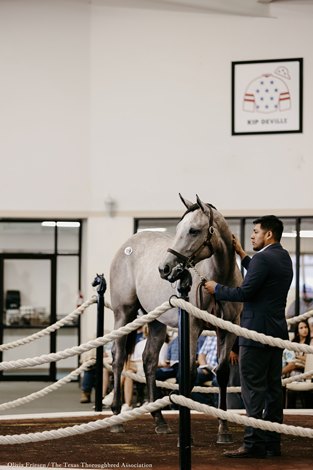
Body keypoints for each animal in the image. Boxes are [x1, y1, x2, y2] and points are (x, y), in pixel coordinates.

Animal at [109, 194, 241, 440]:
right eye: (179, 228)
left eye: (193, 230)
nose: (165, 268)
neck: (219, 279)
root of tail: (127, 246)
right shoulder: (192, 326)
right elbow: (187, 372)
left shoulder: (227, 329)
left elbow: (222, 373)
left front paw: (224, 429)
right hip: (124, 314)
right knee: (118, 357)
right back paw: (116, 417)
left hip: (156, 322)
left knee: (149, 360)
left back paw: (159, 419)